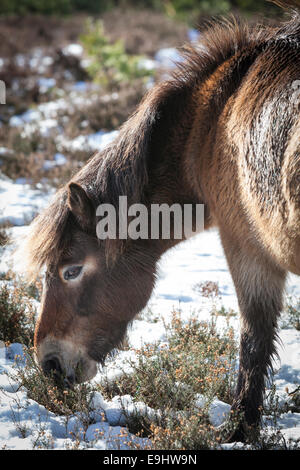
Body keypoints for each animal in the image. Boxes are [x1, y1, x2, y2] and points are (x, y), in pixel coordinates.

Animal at [17, 0, 300, 440]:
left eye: (71, 270)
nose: (48, 364)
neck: (213, 119)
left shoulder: (247, 249)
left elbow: (254, 342)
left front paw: (239, 432)